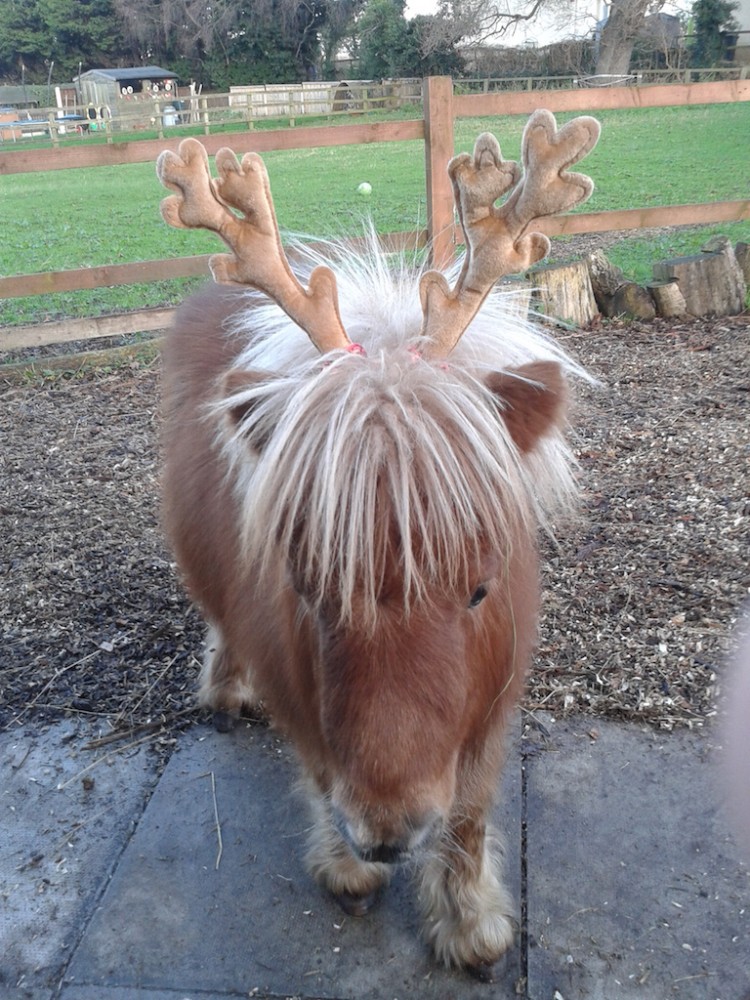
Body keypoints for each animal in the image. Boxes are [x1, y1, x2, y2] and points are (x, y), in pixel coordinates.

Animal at [156, 109, 600, 980]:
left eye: (480, 587)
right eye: (304, 584)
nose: (388, 834)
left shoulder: (491, 701)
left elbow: (468, 812)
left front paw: (470, 925)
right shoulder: (297, 684)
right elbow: (318, 766)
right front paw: (347, 868)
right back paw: (225, 690)